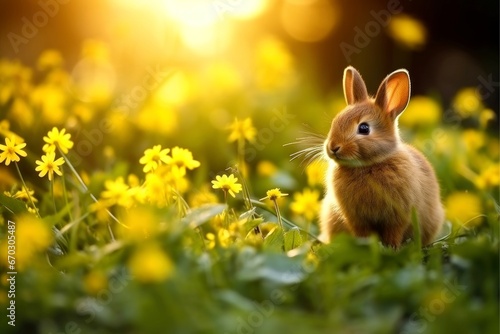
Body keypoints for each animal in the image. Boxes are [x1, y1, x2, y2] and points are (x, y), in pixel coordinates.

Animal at [318, 66, 444, 248]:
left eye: (364, 128)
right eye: (335, 122)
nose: (333, 147)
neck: (367, 165)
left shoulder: (399, 215)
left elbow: (394, 231)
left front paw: (392, 247)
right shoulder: (357, 219)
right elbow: (362, 232)